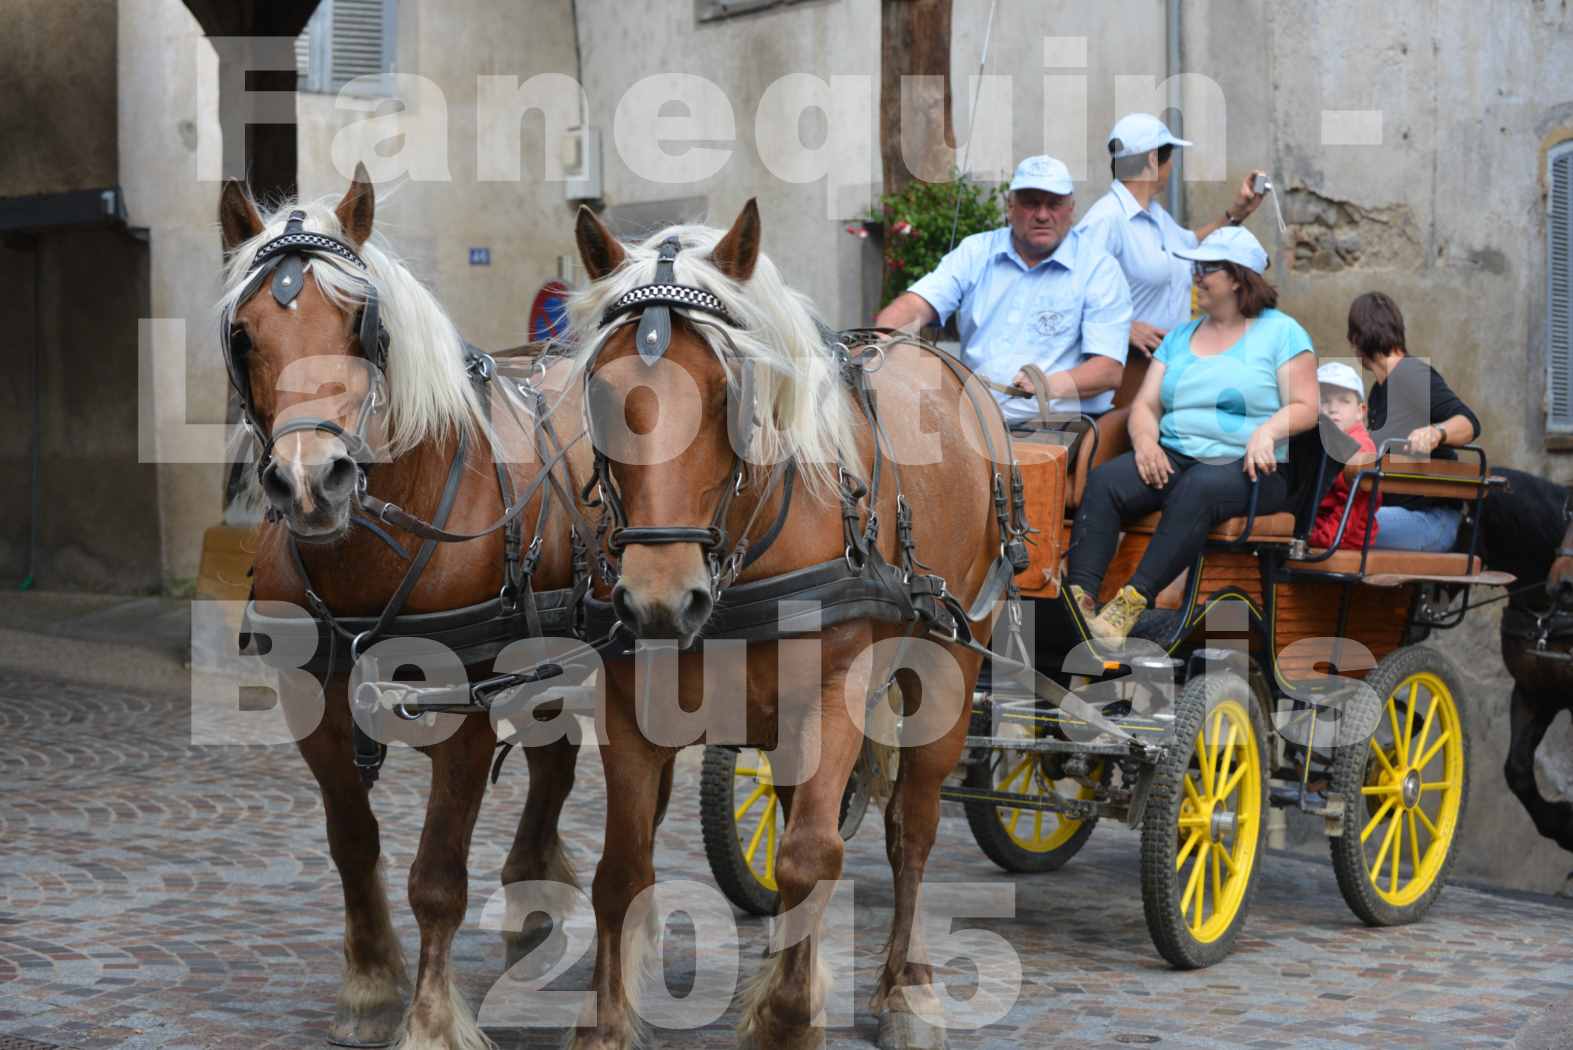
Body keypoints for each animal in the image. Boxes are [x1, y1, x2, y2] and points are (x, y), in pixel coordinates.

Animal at [566, 198, 1019, 1050]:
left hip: (947, 667)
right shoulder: (629, 705)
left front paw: (784, 1017)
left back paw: (905, 989)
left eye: (725, 396)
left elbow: (813, 854)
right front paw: (607, 1026)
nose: (658, 599)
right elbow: (619, 871)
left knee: (910, 826)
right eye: (602, 398)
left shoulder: (837, 688)